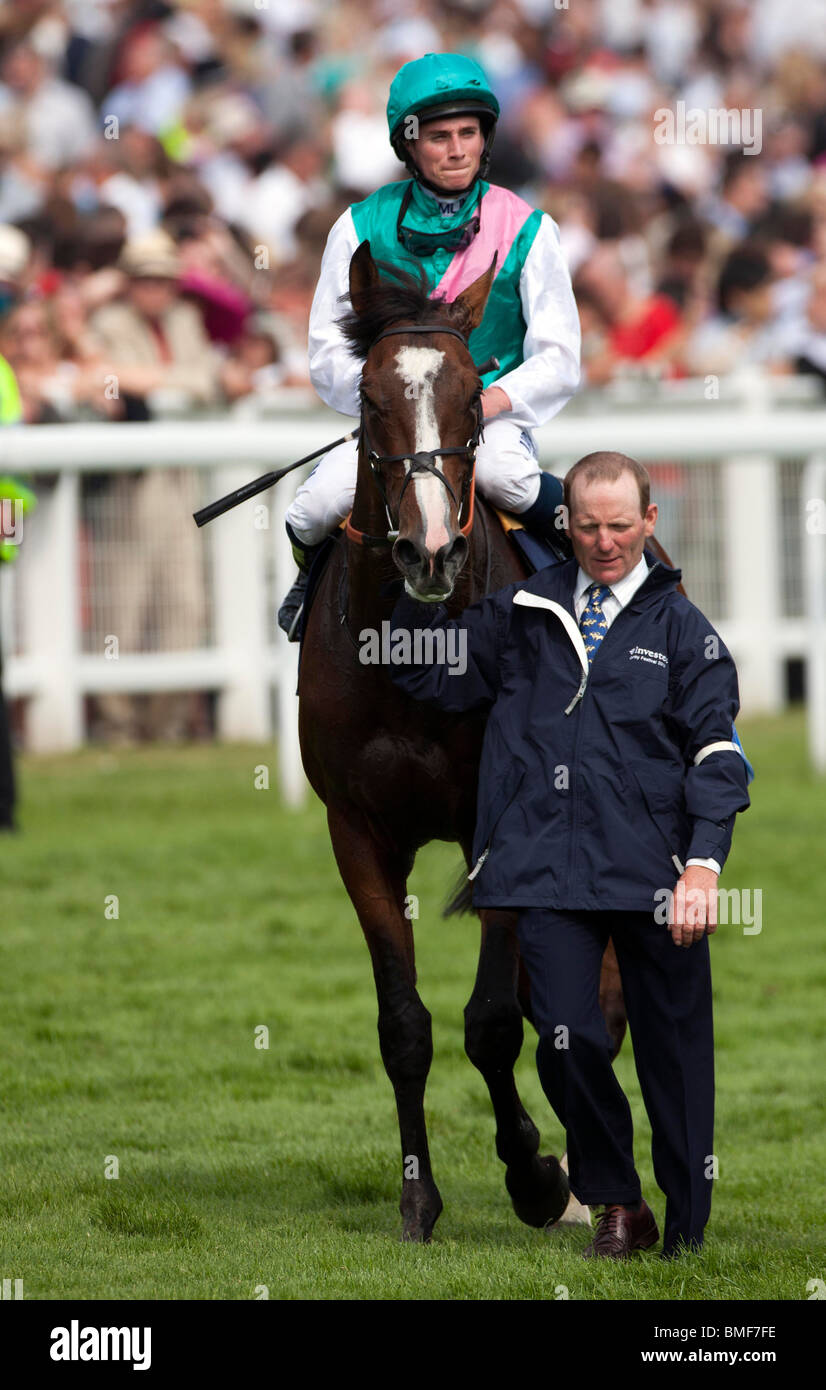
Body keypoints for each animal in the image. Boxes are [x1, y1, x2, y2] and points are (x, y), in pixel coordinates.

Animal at [296, 236, 631, 1239]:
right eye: (371, 398)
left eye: (474, 397)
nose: (432, 551)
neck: (422, 653)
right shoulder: (358, 832)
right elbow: (405, 1026)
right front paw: (418, 1197)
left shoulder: (507, 820)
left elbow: (493, 1021)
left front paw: (537, 1175)